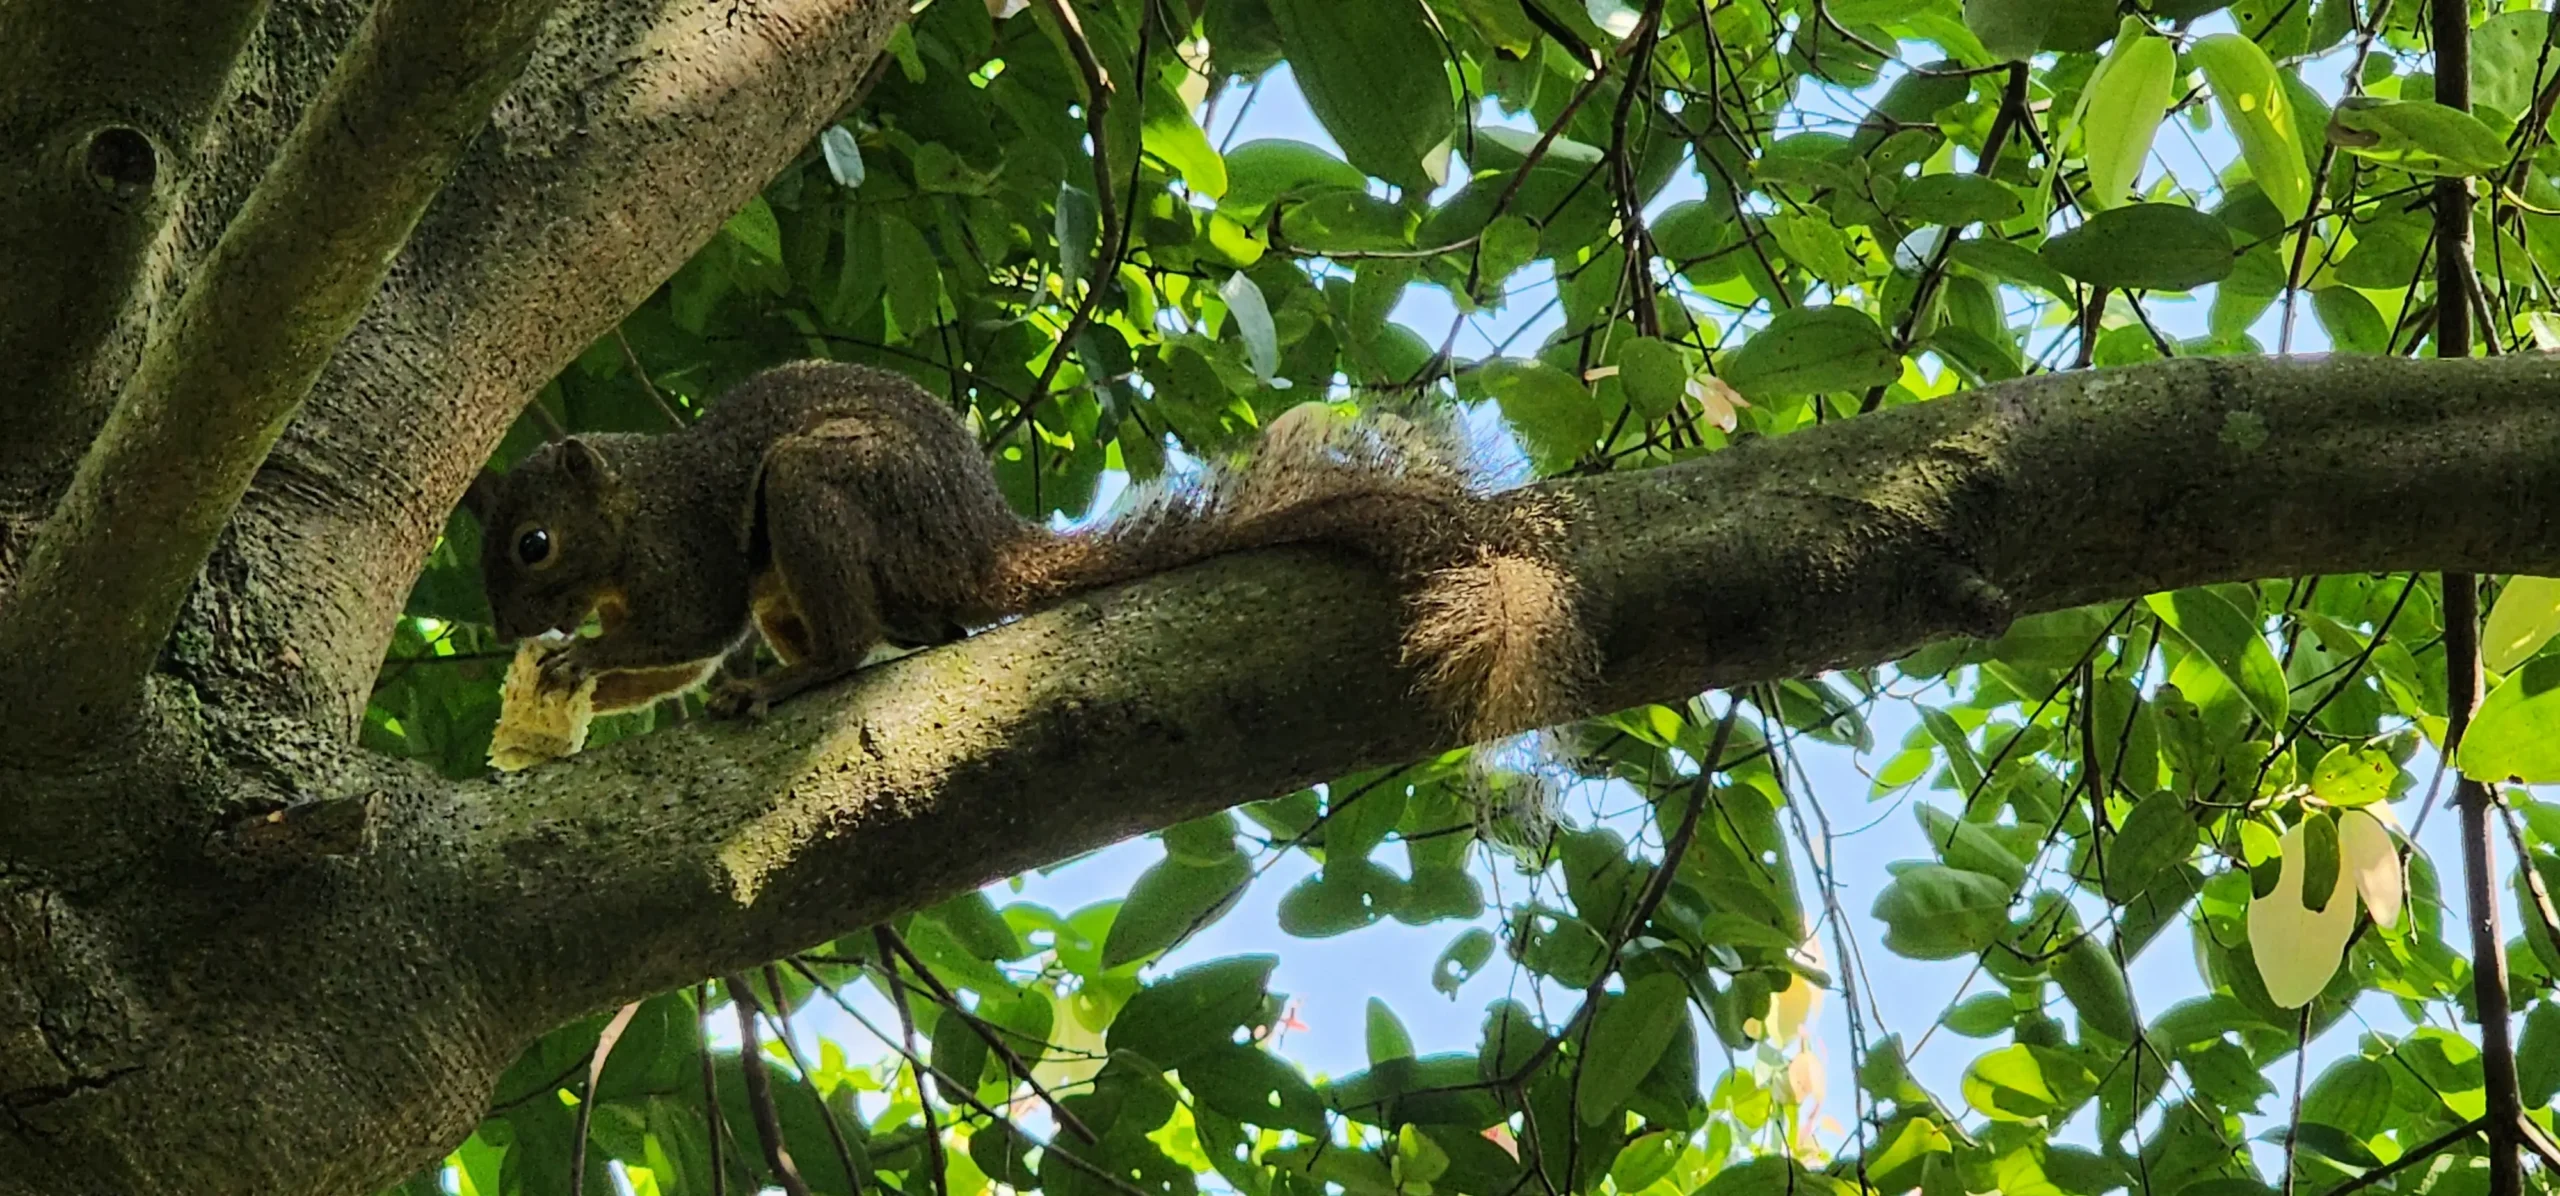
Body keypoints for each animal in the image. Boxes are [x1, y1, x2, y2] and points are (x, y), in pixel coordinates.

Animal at [461, 360, 1597, 741]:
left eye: (532, 543)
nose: (506, 625)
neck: (628, 511)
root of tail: (980, 546)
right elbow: (669, 669)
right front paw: (569, 686)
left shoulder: (686, 548)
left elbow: (692, 632)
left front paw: (579, 659)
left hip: (819, 487)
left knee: (857, 638)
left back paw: (792, 682)